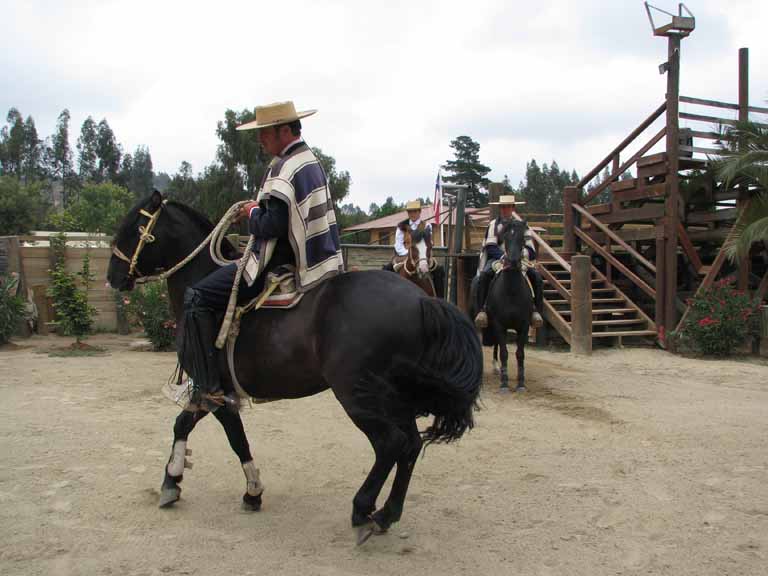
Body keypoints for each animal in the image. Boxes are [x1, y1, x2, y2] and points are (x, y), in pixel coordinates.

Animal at [106, 194, 484, 544]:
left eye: (134, 228)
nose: (113, 277)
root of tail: (422, 300)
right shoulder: (216, 391)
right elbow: (193, 426)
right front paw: (186, 481)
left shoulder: (214, 388)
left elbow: (226, 435)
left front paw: (220, 485)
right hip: (395, 398)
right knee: (410, 446)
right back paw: (387, 514)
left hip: (359, 396)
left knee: (391, 444)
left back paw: (363, 510)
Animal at [468, 219, 536, 392]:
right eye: (505, 238)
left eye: (522, 238)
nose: (512, 261)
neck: (511, 291)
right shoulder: (499, 324)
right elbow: (505, 353)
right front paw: (504, 384)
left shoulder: (523, 325)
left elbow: (519, 353)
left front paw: (520, 383)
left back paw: (496, 367)